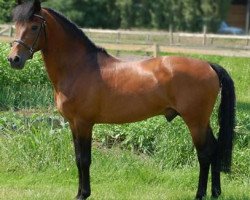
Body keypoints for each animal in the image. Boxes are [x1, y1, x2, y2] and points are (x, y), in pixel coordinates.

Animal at [6, 0, 235, 199]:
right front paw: (79, 193)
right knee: (215, 150)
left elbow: (84, 160)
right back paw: (215, 193)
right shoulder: (72, 124)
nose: (13, 59)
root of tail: (208, 65)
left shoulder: (84, 123)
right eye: (15, 25)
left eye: (34, 26)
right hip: (202, 122)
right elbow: (78, 158)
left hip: (195, 121)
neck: (79, 66)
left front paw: (83, 194)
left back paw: (200, 194)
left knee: (205, 154)